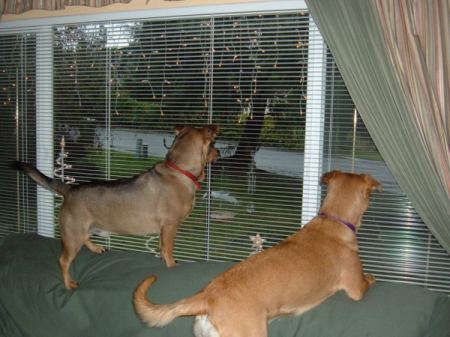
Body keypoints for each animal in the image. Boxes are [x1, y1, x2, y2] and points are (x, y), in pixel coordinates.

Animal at [12, 124, 220, 288]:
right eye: (213, 144)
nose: (219, 153)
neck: (179, 170)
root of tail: (70, 189)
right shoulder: (170, 226)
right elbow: (167, 249)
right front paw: (172, 265)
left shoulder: (164, 229)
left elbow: (162, 248)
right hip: (72, 235)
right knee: (63, 261)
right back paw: (69, 284)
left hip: (81, 229)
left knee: (85, 239)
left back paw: (96, 248)